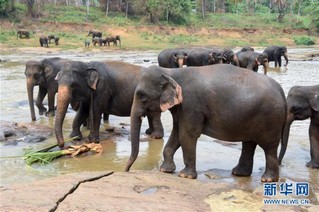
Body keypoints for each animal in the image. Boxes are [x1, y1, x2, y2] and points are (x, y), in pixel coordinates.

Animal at [125, 63, 288, 182]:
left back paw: (267, 179)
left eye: (142, 96)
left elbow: (187, 135)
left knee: (269, 147)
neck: (171, 72)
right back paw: (239, 173)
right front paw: (165, 170)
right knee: (249, 143)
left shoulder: (191, 104)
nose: (126, 171)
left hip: (270, 118)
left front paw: (185, 176)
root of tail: (281, 91)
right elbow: (177, 133)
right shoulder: (182, 108)